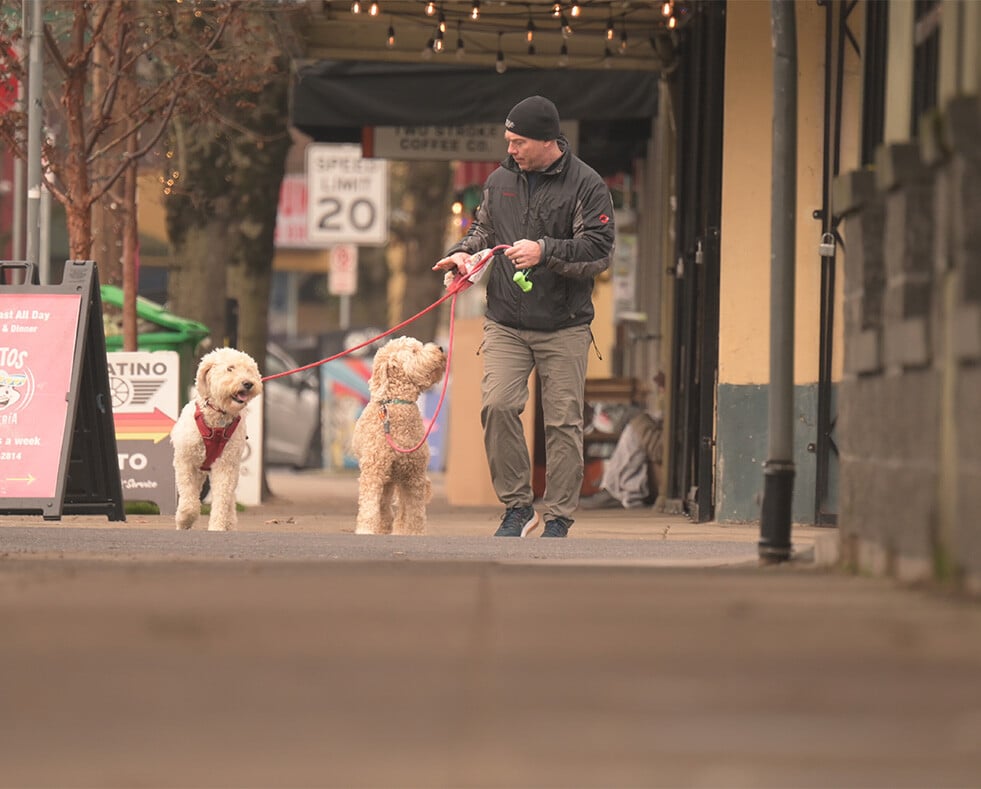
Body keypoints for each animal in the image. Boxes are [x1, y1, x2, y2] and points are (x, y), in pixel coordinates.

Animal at [171, 348, 264, 532]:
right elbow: (189, 500)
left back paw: (230, 523)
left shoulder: (225, 465)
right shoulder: (186, 463)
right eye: (230, 368)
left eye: (249, 370)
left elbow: (222, 500)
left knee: (229, 500)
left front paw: (218, 526)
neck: (217, 419)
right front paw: (184, 519)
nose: (248, 383)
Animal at [350, 334, 446, 536]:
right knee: (384, 506)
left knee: (401, 510)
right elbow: (369, 506)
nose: (441, 348)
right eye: (415, 351)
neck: (397, 403)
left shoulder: (414, 475)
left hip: (400, 478)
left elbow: (415, 512)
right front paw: (365, 530)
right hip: (387, 478)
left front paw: (416, 533)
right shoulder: (373, 473)